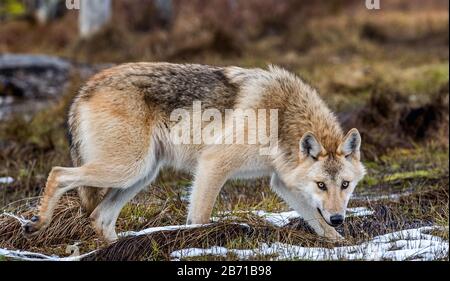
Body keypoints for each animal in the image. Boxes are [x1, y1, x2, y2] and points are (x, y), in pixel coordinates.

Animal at [22, 63, 366, 241]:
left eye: (345, 185)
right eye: (321, 184)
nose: (339, 217)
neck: (282, 117)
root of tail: (82, 90)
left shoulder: (282, 183)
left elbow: (321, 227)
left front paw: (341, 244)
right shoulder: (213, 164)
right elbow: (199, 218)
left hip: (140, 176)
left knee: (100, 218)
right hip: (127, 170)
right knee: (59, 173)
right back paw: (37, 222)